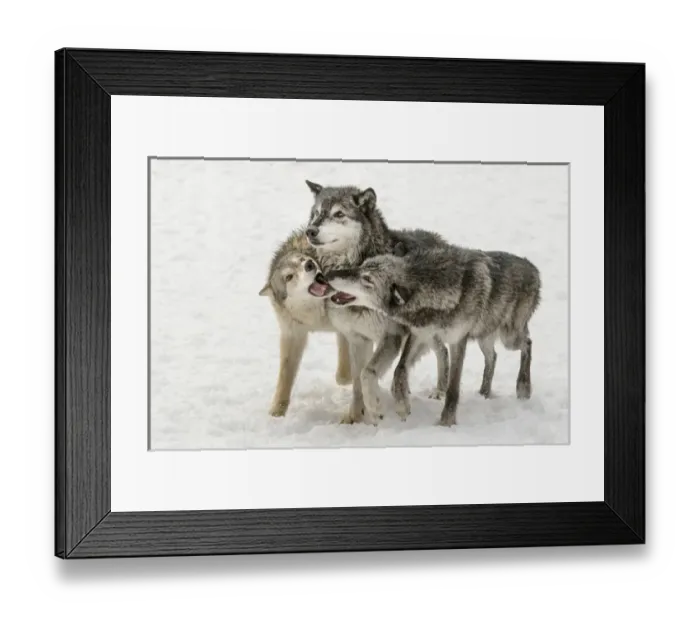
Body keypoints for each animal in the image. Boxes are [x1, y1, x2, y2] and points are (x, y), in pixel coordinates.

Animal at [258, 229, 352, 418]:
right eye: (289, 277)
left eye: (302, 260)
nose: (309, 264)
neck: (317, 317)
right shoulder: (293, 334)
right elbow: (285, 376)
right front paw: (277, 412)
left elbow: (343, 376)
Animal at [303, 180, 449, 425]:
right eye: (315, 214)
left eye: (338, 214)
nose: (310, 231)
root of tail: (440, 239)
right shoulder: (357, 338)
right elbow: (356, 381)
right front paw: (354, 416)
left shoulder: (390, 336)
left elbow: (367, 373)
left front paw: (375, 408)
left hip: (420, 332)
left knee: (435, 353)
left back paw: (436, 392)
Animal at [324, 244, 542, 426]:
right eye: (361, 266)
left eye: (367, 279)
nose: (327, 274)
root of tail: (533, 268)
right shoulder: (418, 334)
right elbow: (400, 369)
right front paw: (402, 405)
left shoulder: (457, 341)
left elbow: (453, 389)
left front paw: (446, 422)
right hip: (481, 337)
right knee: (492, 356)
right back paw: (484, 392)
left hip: (508, 337)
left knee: (528, 343)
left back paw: (523, 387)